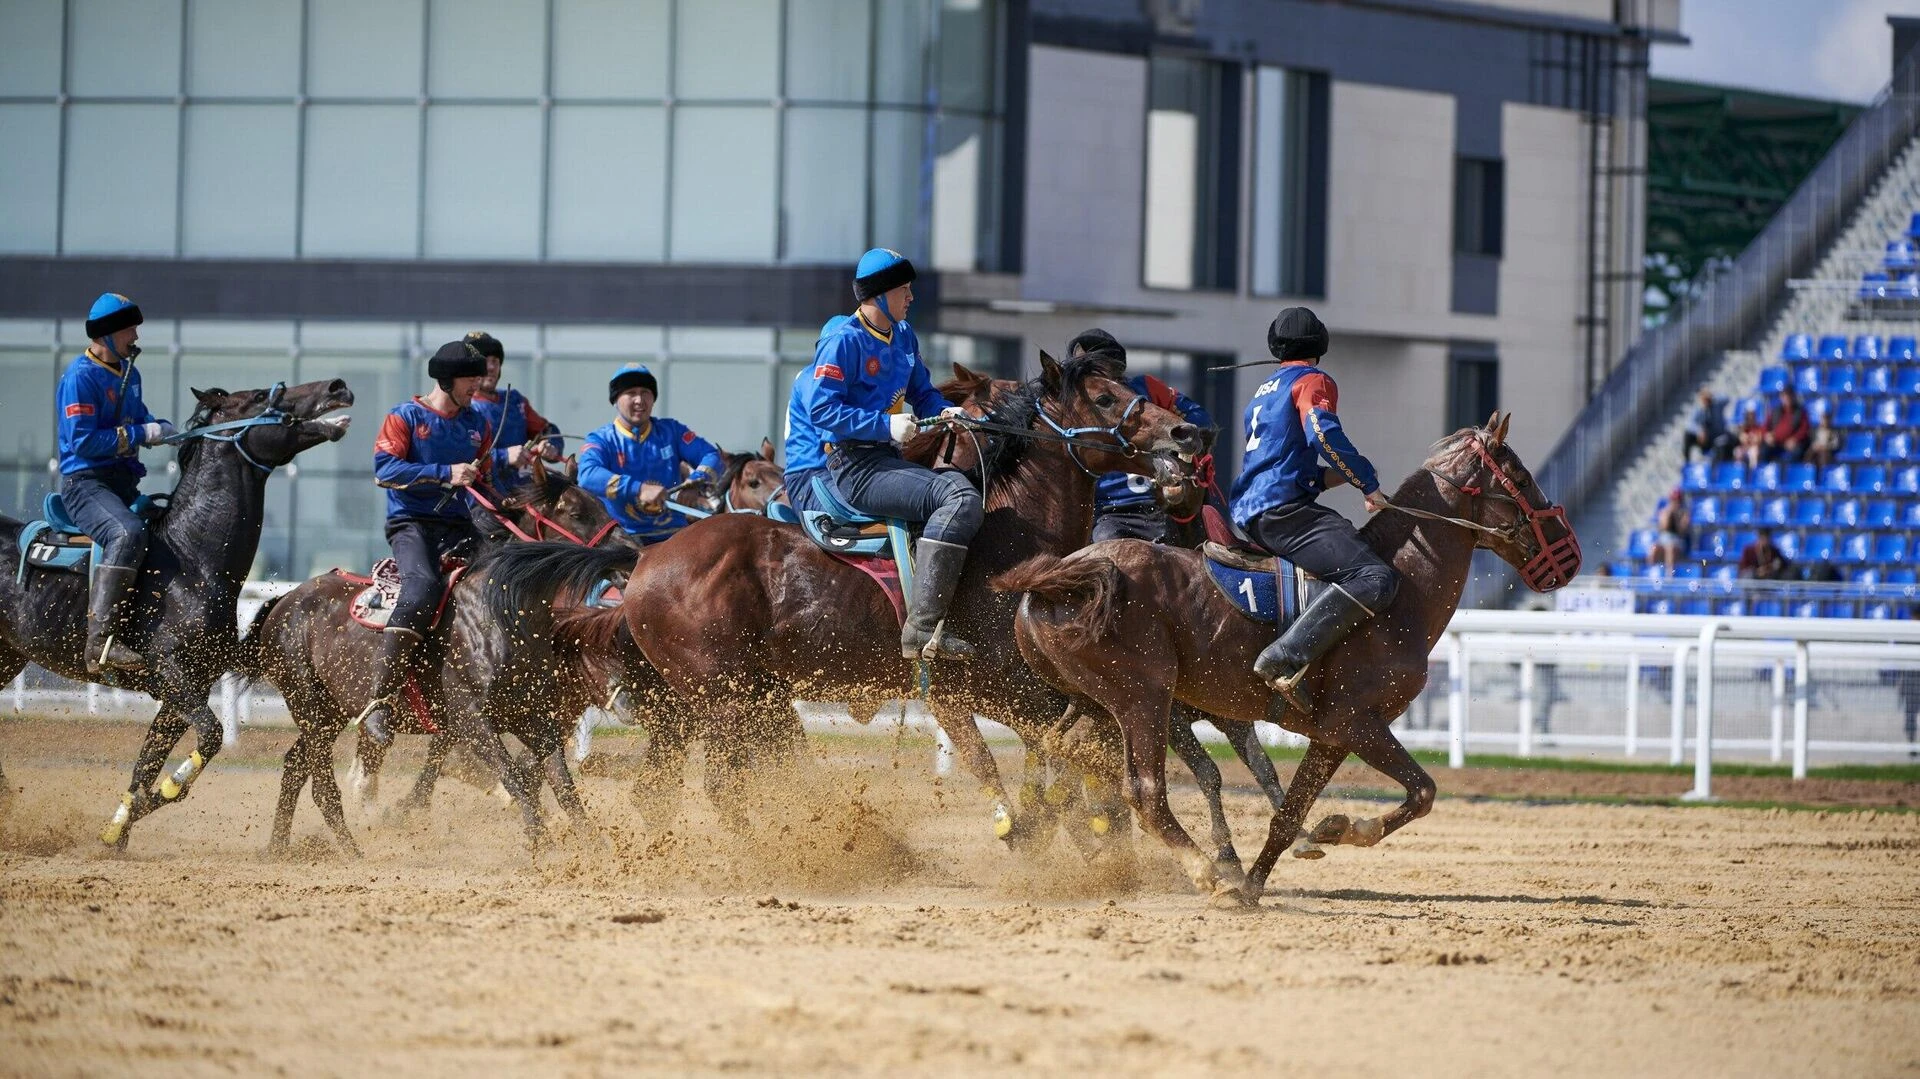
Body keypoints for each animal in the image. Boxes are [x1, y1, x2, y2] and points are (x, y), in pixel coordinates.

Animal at [0, 378, 353, 848]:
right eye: (261, 395)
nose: (337, 386)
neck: (188, 561)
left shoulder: (184, 689)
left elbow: (146, 765)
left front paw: (118, 831)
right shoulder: (172, 674)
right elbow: (209, 738)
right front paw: (161, 795)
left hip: (7, 657)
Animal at [556, 349, 1205, 837]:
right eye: (1103, 397)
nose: (1185, 431)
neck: (1008, 541)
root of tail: (647, 561)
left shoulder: (1040, 692)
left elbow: (1066, 750)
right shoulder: (974, 689)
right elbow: (1006, 761)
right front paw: (1027, 828)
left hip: (711, 704)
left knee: (660, 790)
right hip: (725, 699)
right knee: (720, 786)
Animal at [990, 410, 1574, 898]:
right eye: (1521, 479)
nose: (1569, 555)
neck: (1401, 589)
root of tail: (1065, 575)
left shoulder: (1333, 736)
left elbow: (1290, 813)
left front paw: (1264, 876)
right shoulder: (1358, 723)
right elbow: (1423, 791)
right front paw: (1342, 829)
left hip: (1094, 704)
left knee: (1059, 753)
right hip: (1143, 701)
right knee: (1146, 792)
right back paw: (1204, 871)